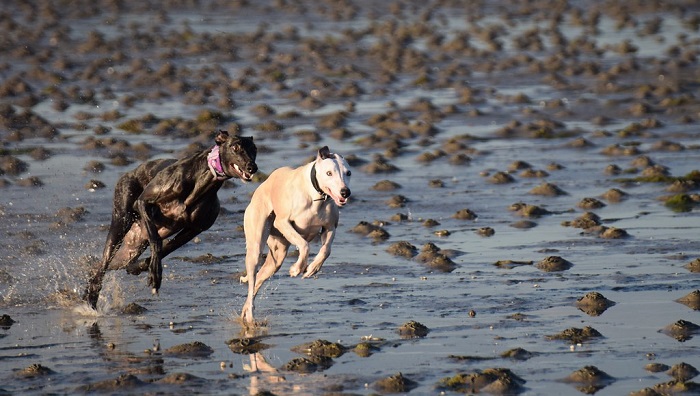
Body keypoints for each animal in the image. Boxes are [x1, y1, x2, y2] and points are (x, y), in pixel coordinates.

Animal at [82, 131, 258, 310]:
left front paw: (143, 267)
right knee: (104, 263)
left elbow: (164, 250)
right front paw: (155, 272)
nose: (252, 167)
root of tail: (128, 173)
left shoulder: (195, 229)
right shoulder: (143, 202)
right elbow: (156, 241)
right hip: (121, 221)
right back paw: (91, 298)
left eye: (254, 149)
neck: (201, 183)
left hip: (132, 246)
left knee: (99, 266)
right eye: (235, 147)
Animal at [239, 146, 350, 324]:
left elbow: (326, 250)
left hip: (276, 257)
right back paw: (250, 315)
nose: (345, 192)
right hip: (256, 246)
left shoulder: (330, 228)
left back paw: (245, 311)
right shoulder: (283, 223)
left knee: (258, 279)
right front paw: (297, 268)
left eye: (348, 173)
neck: (316, 196)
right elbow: (304, 245)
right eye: (329, 173)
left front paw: (312, 268)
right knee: (251, 281)